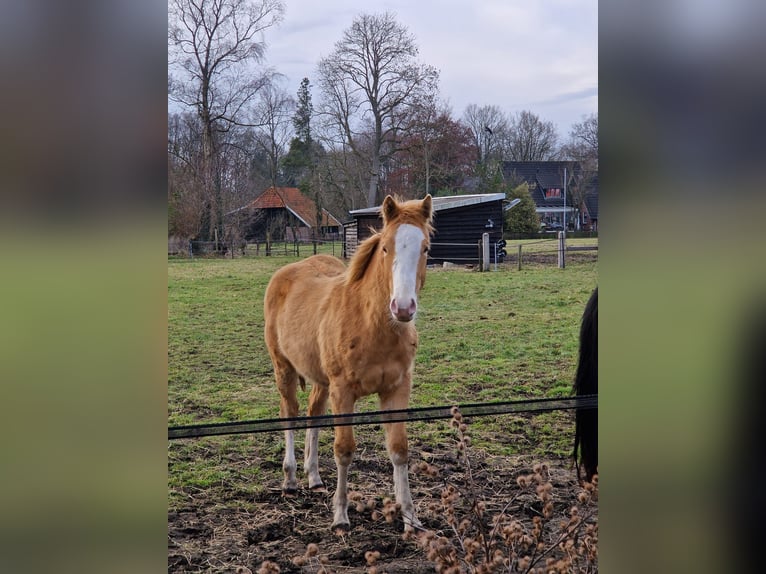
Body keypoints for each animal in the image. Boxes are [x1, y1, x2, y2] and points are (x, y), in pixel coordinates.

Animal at [263, 194, 434, 532]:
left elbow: (399, 449)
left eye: (425, 248)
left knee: (313, 413)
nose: (403, 308)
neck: (371, 326)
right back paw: (290, 479)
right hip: (284, 369)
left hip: (320, 379)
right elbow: (344, 450)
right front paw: (340, 516)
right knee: (290, 413)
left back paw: (314, 477)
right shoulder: (342, 391)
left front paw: (411, 519)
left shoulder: (397, 389)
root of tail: (285, 272)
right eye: (386, 247)